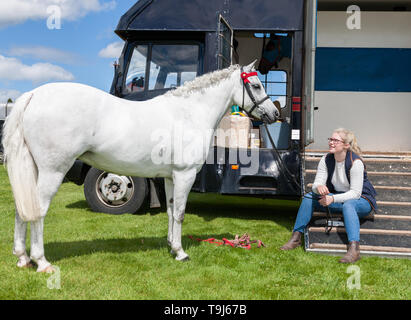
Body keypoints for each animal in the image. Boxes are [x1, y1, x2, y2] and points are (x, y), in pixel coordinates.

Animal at [1, 61, 278, 272]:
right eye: (256, 85)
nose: (274, 114)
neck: (189, 112)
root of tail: (33, 95)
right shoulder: (185, 175)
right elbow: (180, 213)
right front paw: (182, 253)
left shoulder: (170, 177)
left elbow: (170, 211)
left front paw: (172, 247)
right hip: (52, 171)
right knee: (38, 211)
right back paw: (41, 262)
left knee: (22, 208)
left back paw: (22, 257)